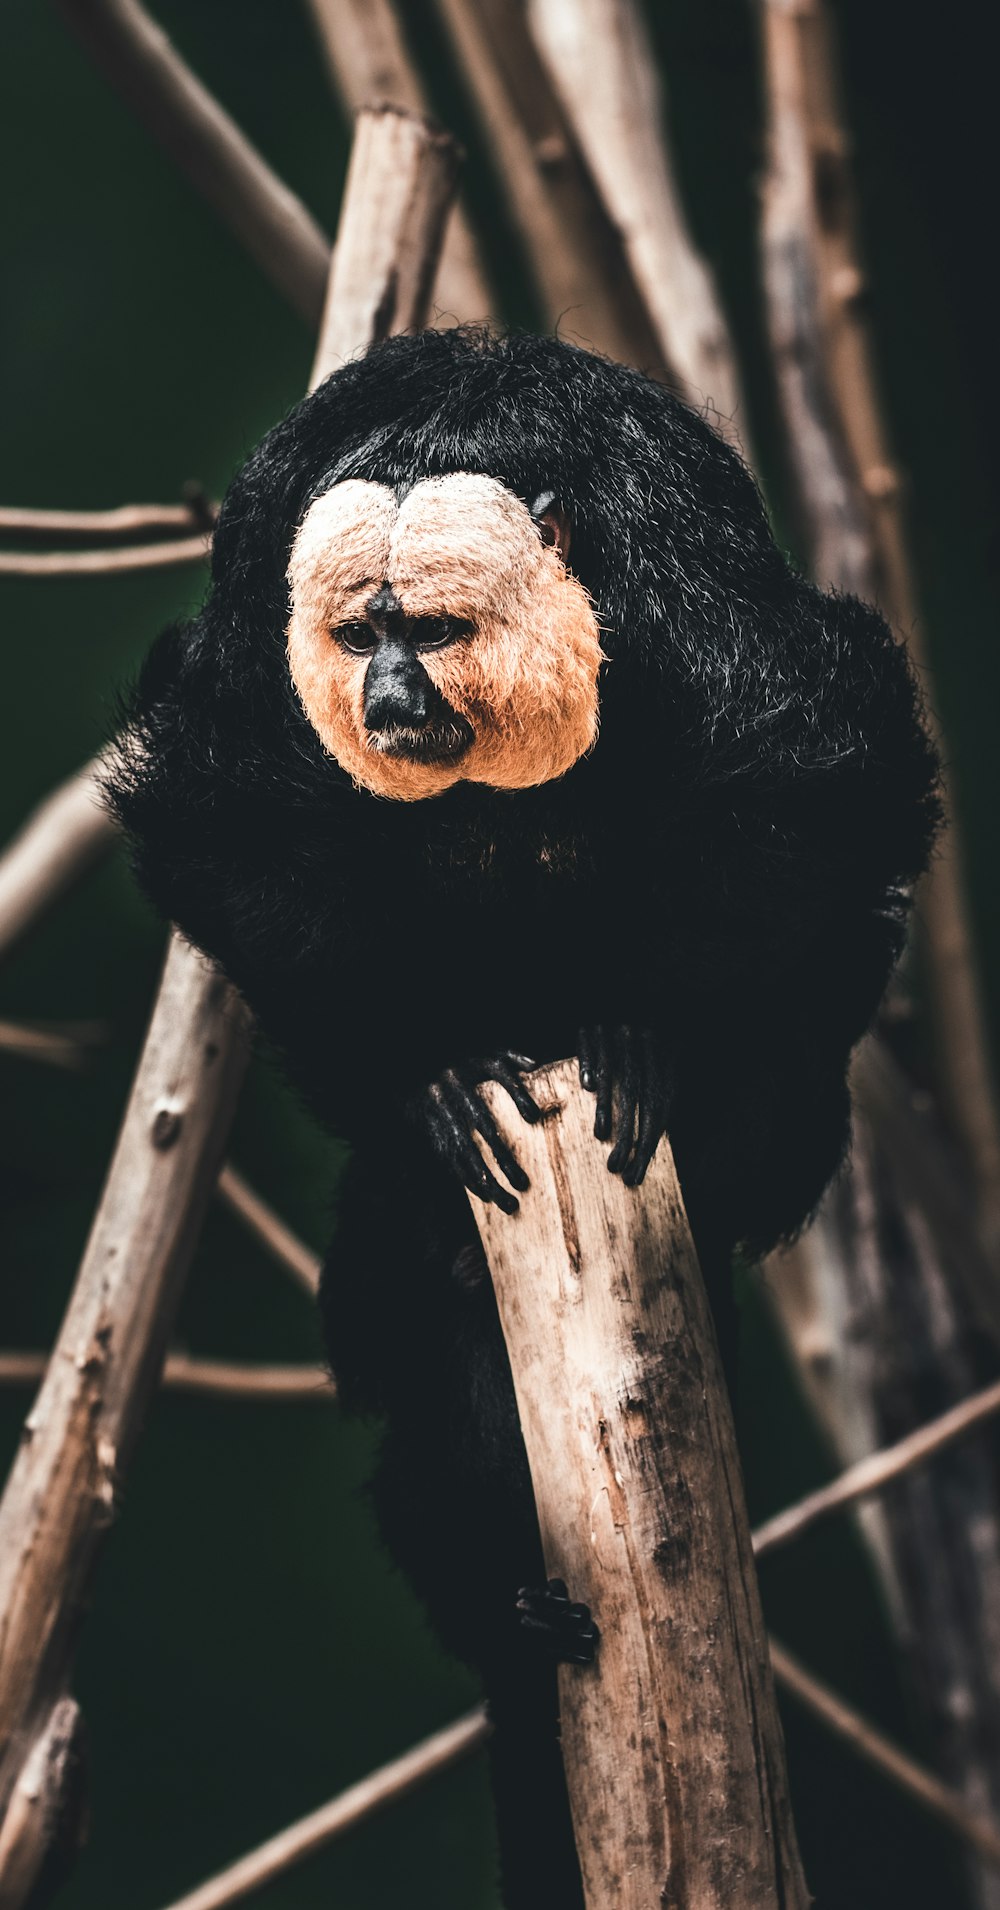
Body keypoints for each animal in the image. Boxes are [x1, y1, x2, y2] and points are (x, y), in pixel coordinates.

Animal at [105, 328, 942, 1910]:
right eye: (355, 631)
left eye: (427, 630)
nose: (386, 691)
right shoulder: (243, 675)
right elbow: (234, 834)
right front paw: (432, 1078)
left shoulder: (722, 637)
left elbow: (815, 819)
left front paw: (656, 1055)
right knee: (431, 1323)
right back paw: (495, 1597)